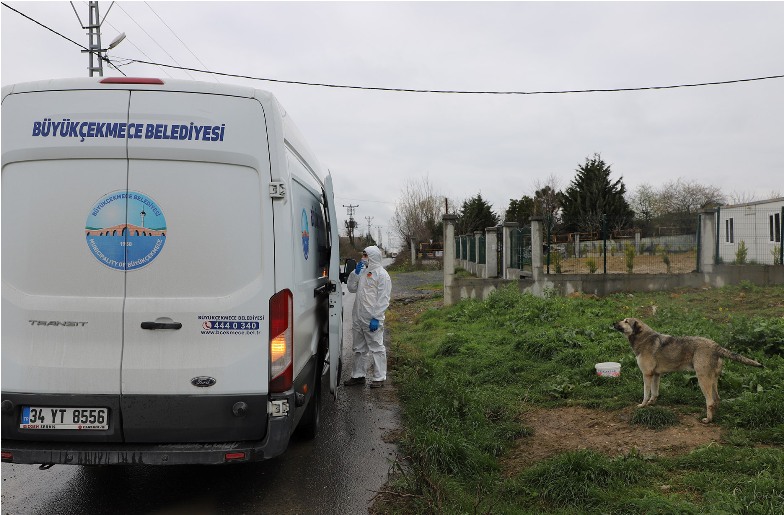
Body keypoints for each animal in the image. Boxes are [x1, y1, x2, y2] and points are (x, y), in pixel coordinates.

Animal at [612, 318, 760, 424]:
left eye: (626, 321)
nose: (613, 323)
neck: (643, 338)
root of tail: (716, 346)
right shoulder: (656, 375)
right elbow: (654, 393)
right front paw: (651, 403)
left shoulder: (647, 374)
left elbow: (645, 394)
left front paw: (643, 405)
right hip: (712, 379)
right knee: (717, 399)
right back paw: (714, 416)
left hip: (702, 379)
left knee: (710, 401)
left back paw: (708, 420)